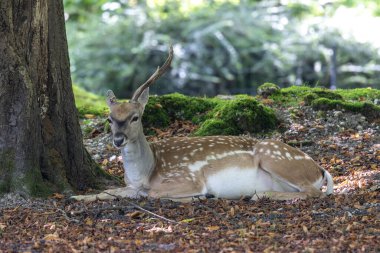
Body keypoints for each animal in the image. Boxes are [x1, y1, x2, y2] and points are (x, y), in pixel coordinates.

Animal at [71, 46, 332, 203]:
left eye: (136, 117)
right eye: (110, 118)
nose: (118, 139)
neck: (146, 171)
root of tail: (319, 169)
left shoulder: (188, 178)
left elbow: (154, 194)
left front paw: (201, 196)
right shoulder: (131, 187)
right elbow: (108, 191)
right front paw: (75, 197)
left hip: (275, 158)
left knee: (313, 192)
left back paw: (256, 195)